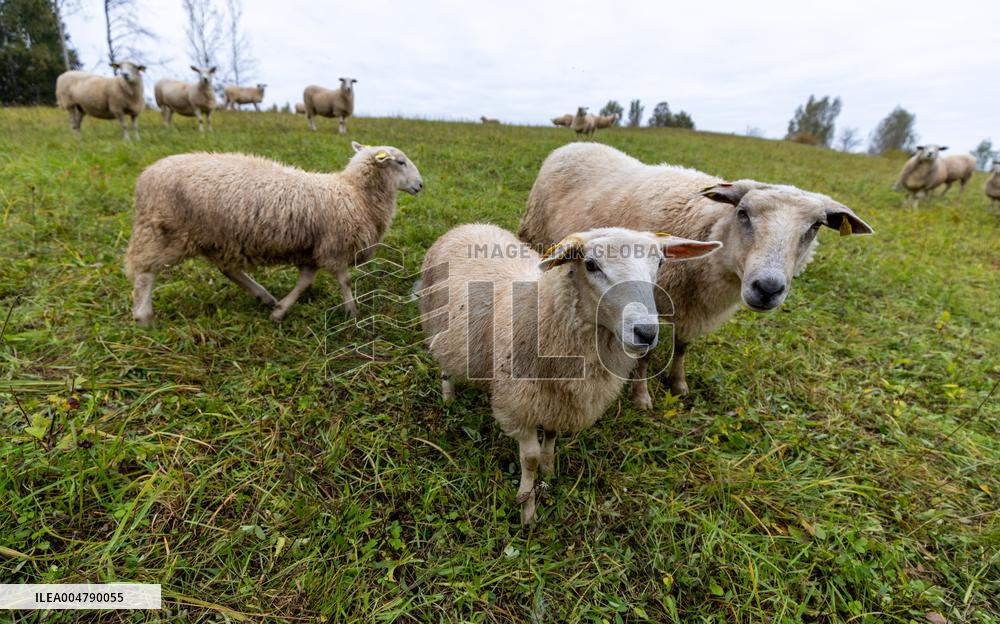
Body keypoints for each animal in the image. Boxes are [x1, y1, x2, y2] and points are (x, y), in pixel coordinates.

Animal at [125, 141, 423, 327]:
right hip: (165, 233)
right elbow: (345, 281)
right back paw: (143, 317)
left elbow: (305, 282)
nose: (421, 185)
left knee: (229, 269)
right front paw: (353, 312)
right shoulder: (335, 247)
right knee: (145, 272)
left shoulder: (313, 250)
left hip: (217, 238)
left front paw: (279, 312)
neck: (354, 193)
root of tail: (144, 178)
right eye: (400, 162)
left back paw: (264, 296)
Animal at [418, 224, 721, 523]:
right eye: (591, 264)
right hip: (439, 327)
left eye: (659, 263)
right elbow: (529, 459)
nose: (645, 332)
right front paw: (527, 510)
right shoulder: (519, 405)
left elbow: (551, 437)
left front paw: (549, 470)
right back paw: (448, 397)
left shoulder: (560, 401)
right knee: (444, 365)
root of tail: (469, 225)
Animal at [518, 143, 873, 408]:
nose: (767, 287)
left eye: (815, 227)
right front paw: (642, 398)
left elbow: (683, 347)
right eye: (743, 212)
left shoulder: (691, 308)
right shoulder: (652, 303)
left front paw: (678, 384)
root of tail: (577, 143)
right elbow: (645, 354)